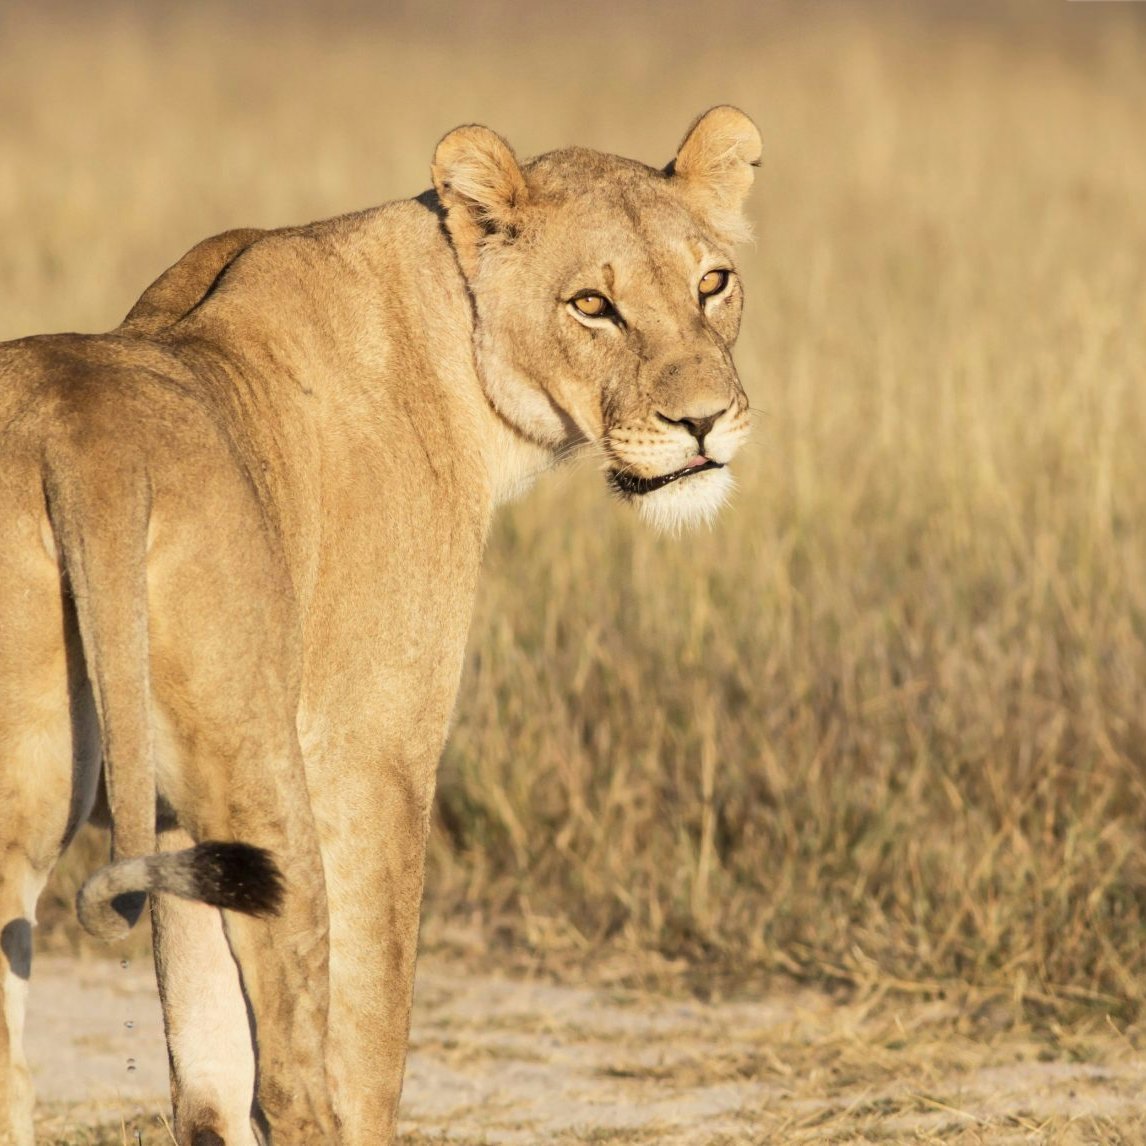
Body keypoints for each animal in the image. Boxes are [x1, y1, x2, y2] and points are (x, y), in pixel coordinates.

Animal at [0, 107, 761, 1145]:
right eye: (592, 305)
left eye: (711, 283)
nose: (704, 422)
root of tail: (83, 442)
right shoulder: (375, 757)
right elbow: (368, 1042)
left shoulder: (171, 814)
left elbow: (205, 1081)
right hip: (260, 776)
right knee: (295, 1077)